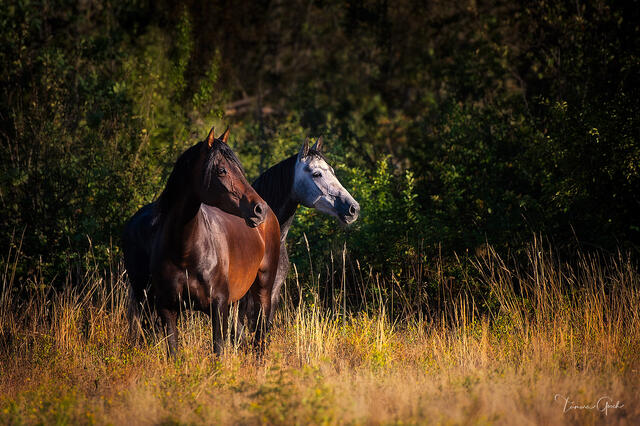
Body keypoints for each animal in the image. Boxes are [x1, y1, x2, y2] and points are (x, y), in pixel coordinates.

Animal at [123, 126, 280, 355]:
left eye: (239, 169)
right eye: (222, 170)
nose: (260, 209)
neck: (184, 250)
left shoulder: (218, 306)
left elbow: (219, 350)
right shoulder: (167, 308)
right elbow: (173, 352)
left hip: (263, 290)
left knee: (260, 337)